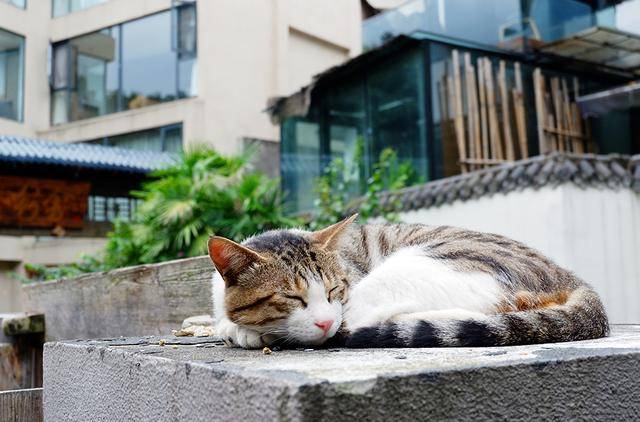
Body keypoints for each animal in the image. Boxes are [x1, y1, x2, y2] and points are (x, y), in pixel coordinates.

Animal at [208, 214, 608, 350]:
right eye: (292, 298)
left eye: (336, 290)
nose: (325, 321)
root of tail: (570, 276)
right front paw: (233, 327)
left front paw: (246, 331)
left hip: (412, 267)